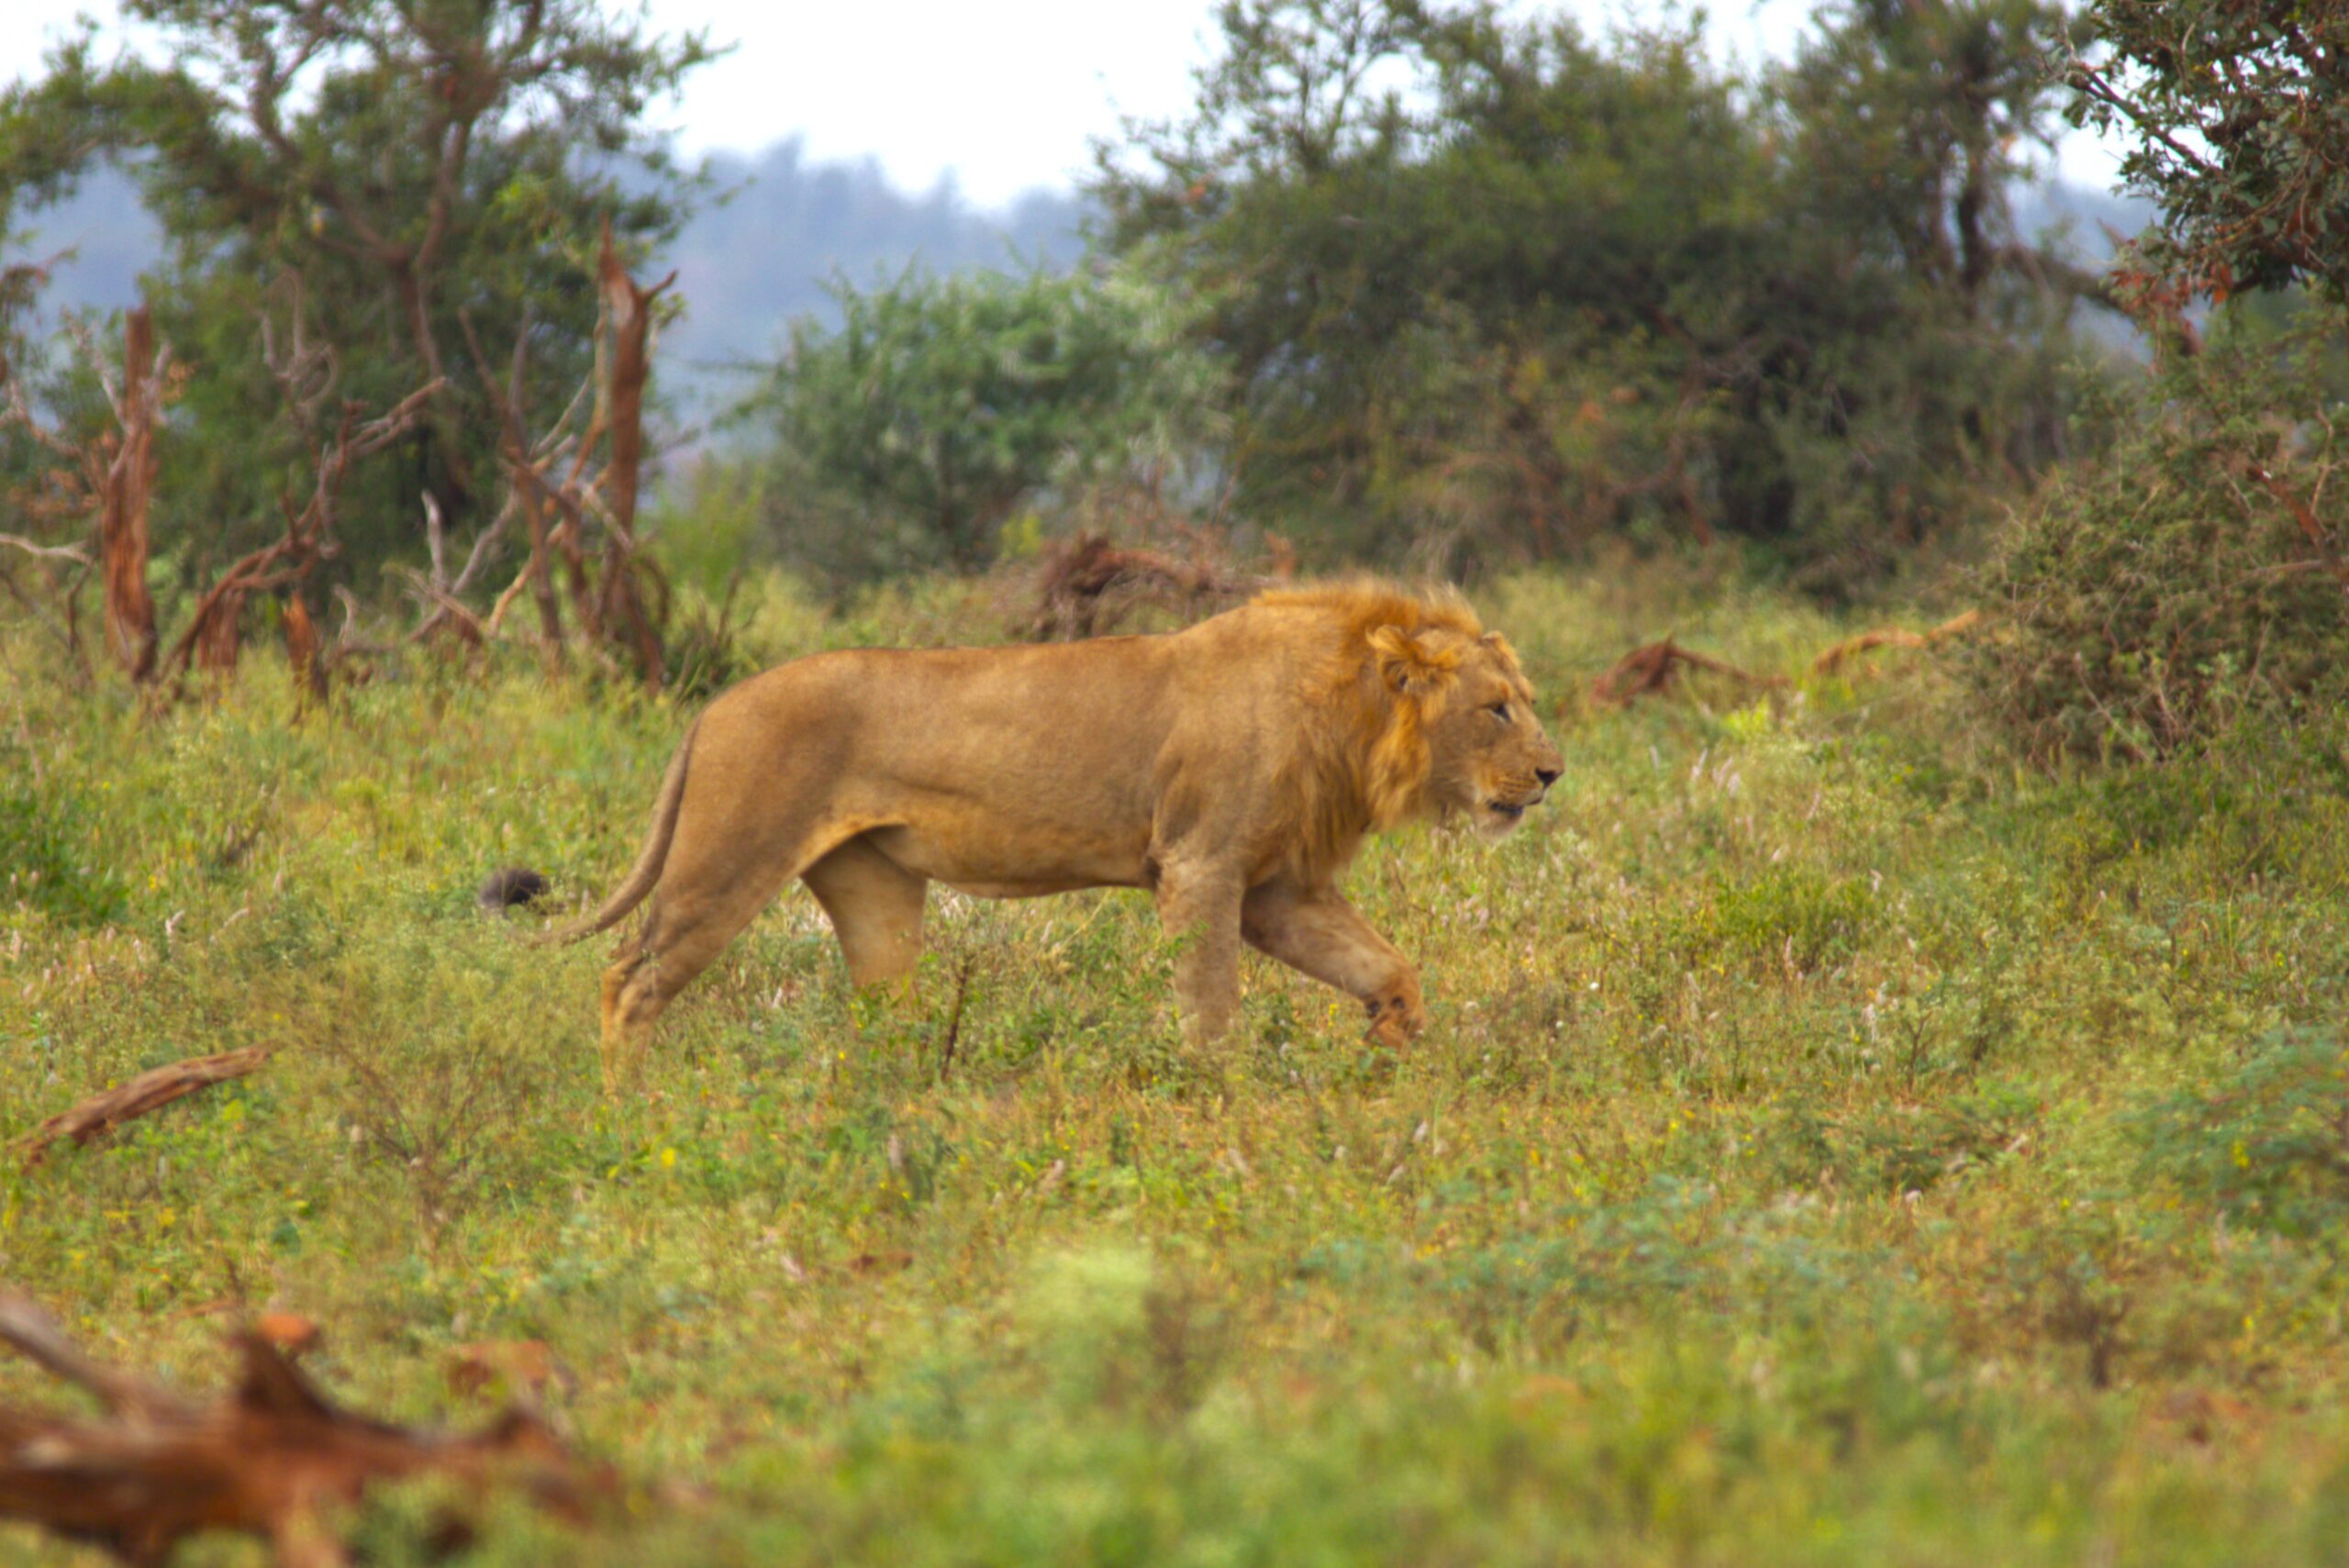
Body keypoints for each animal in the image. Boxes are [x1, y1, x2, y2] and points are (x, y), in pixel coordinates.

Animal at [553, 582, 1562, 1082]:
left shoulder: (1277, 886)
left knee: (879, 1014)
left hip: (873, 887)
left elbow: (1385, 962)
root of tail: (710, 706)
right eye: (1497, 708)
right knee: (626, 980)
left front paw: (1393, 1038)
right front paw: (1215, 1097)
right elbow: (1210, 1005)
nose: (1554, 774)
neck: (1350, 713)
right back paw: (629, 1111)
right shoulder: (1201, 864)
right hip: (728, 860)